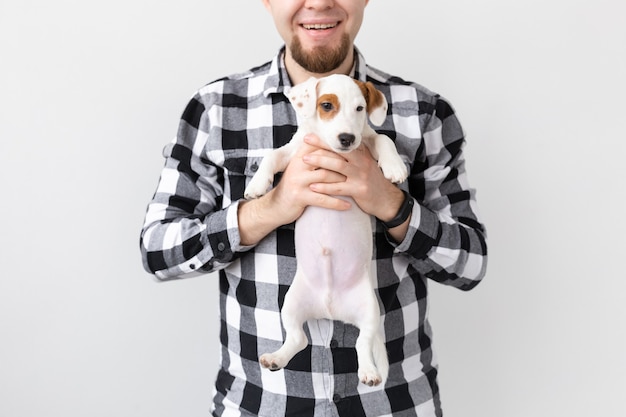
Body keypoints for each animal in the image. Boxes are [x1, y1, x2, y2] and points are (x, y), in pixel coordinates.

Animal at [241, 73, 408, 386]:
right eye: (327, 105)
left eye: (360, 108)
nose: (347, 139)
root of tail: (331, 309)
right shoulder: (294, 151)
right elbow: (271, 155)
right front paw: (257, 185)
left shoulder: (366, 139)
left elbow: (382, 137)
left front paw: (394, 167)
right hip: (291, 304)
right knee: (299, 339)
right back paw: (276, 358)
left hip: (370, 310)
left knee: (362, 343)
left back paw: (368, 372)